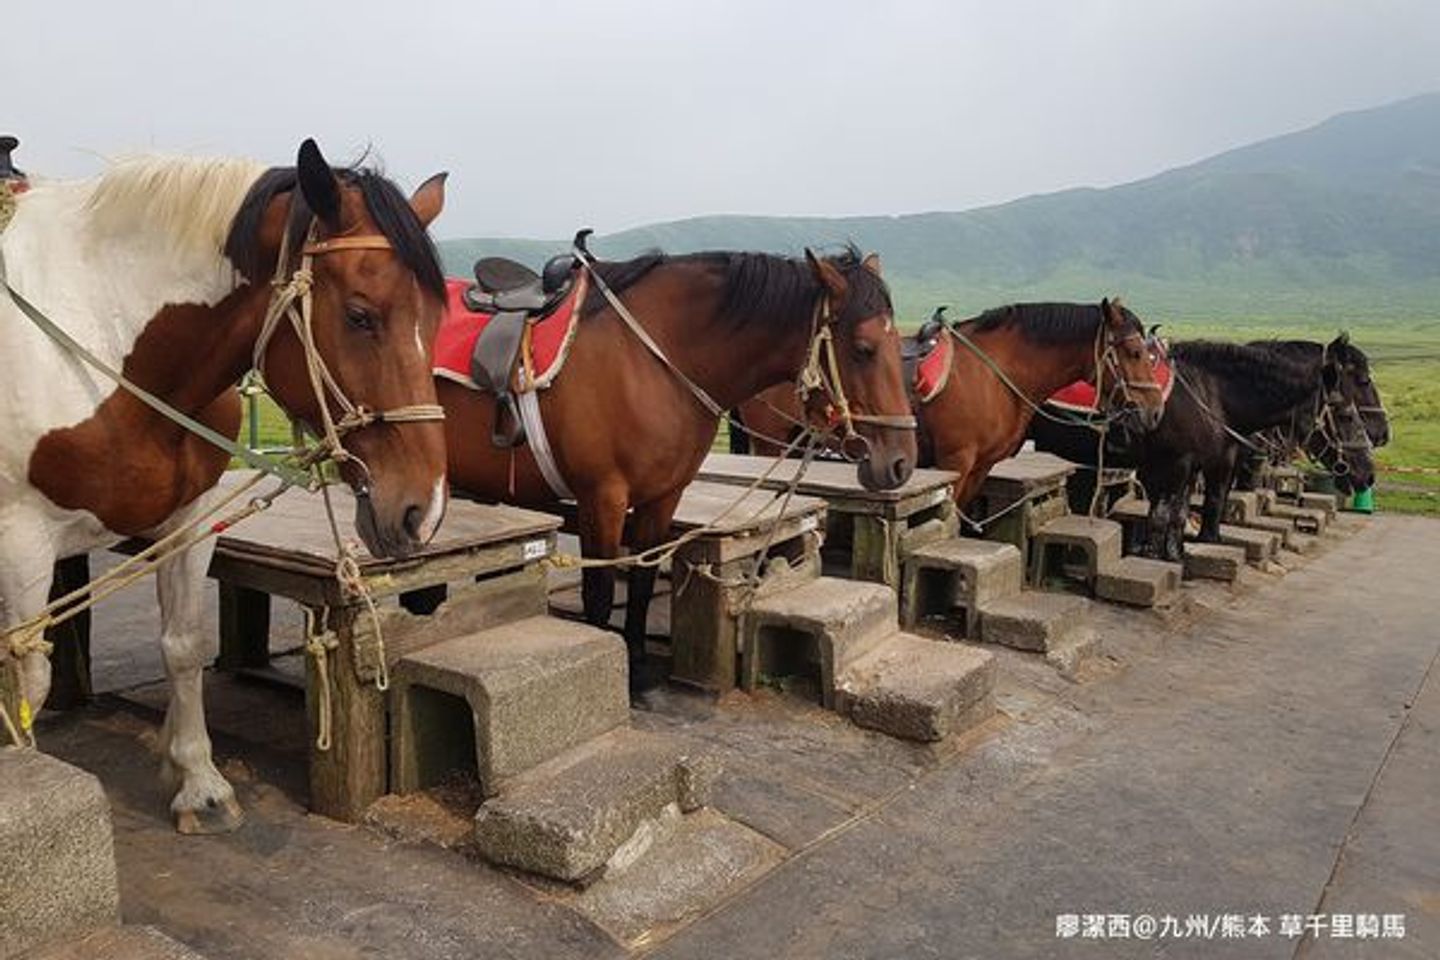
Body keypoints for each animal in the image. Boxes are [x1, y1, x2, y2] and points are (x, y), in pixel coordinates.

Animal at [1, 136, 449, 834]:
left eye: (439, 313)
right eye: (359, 316)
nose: (421, 511)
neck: (103, 334)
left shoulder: (189, 520)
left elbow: (184, 646)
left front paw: (198, 781)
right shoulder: (21, 539)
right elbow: (28, 683)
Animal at [437, 244, 915, 687]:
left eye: (899, 346)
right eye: (864, 348)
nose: (900, 462)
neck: (651, 358)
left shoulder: (662, 497)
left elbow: (643, 583)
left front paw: (637, 663)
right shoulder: (602, 498)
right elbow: (600, 593)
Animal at [737, 300, 1163, 509]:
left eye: (1149, 352)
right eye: (1134, 351)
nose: (1154, 410)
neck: (993, 372)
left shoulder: (981, 466)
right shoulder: (955, 460)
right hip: (769, 438)